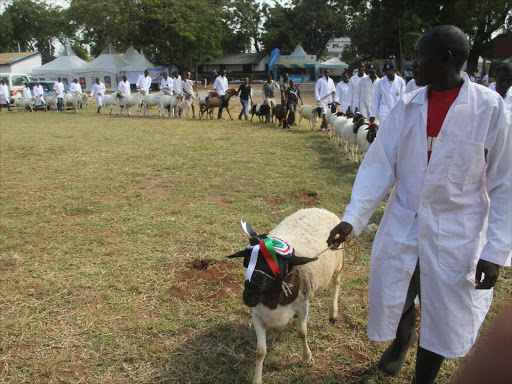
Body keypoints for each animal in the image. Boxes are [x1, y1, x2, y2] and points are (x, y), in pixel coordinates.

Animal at [228, 207, 344, 384]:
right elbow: (260, 351)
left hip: (338, 262)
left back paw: (333, 313)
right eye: (246, 263)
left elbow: (302, 333)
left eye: (279, 270)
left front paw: (307, 357)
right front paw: (257, 378)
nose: (249, 297)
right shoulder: (257, 314)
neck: (274, 299)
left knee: (337, 282)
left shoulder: (302, 307)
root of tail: (319, 209)